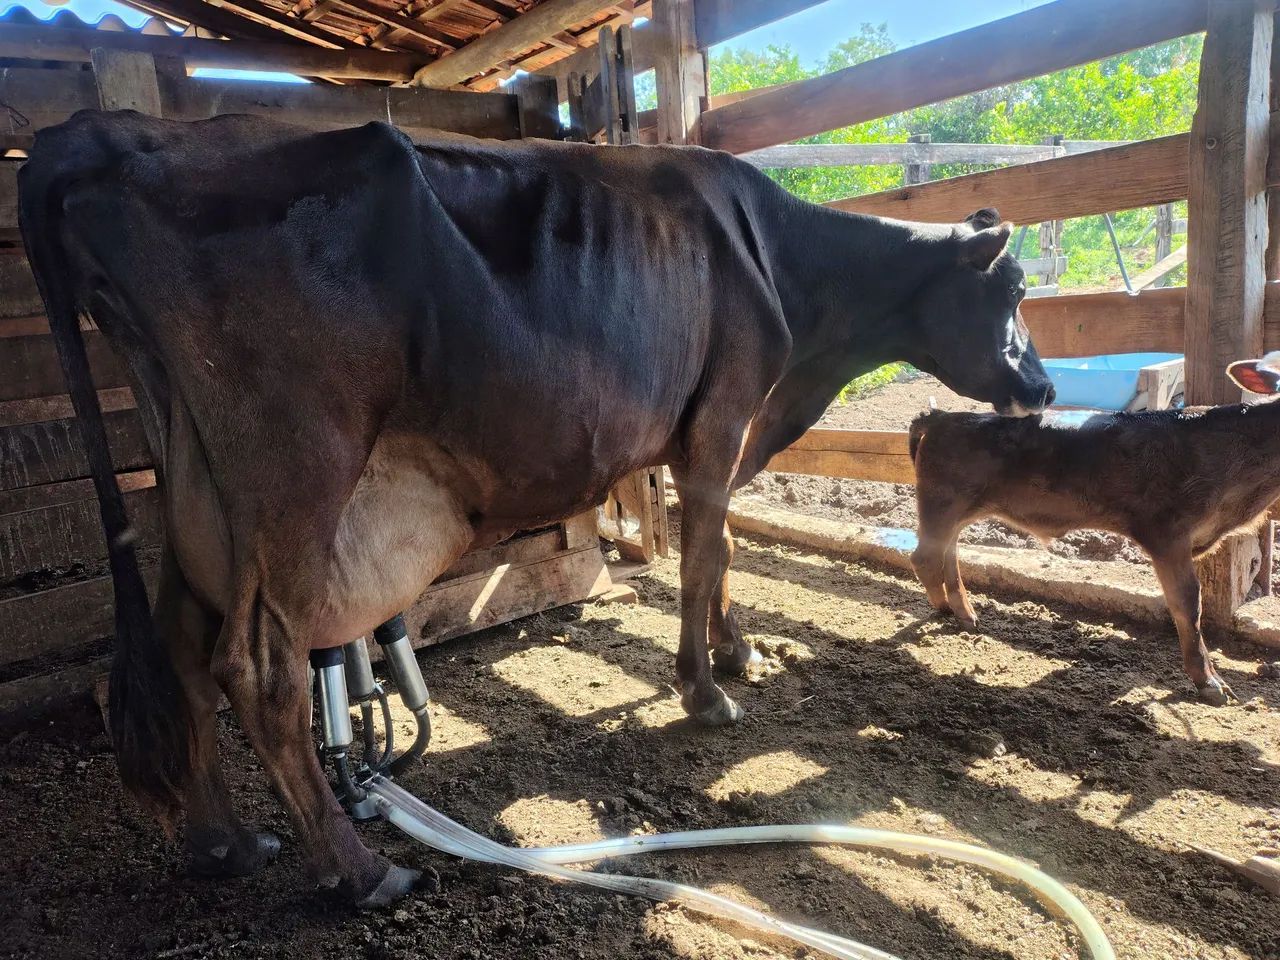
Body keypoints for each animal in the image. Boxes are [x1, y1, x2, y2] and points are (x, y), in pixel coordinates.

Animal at [20, 110, 1054, 906]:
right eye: (1011, 288)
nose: (1042, 386)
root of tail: (110, 131)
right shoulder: (722, 419)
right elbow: (703, 559)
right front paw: (707, 690)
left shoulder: (716, 438)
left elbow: (719, 550)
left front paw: (737, 652)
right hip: (292, 470)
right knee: (256, 665)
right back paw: (364, 873)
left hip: (192, 482)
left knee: (182, 650)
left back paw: (225, 844)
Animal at [908, 364, 1280, 707]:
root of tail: (942, 417)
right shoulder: (1166, 533)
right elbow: (1188, 603)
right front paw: (1209, 682)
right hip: (942, 502)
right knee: (924, 557)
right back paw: (945, 608)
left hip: (956, 509)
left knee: (948, 553)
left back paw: (965, 613)